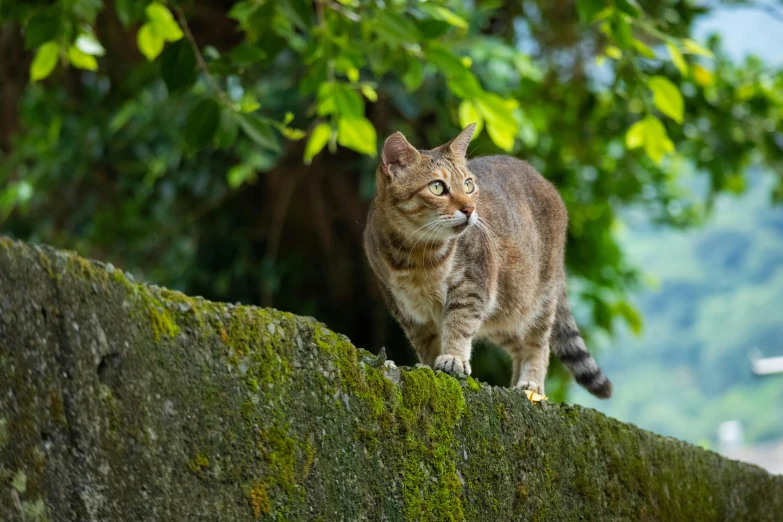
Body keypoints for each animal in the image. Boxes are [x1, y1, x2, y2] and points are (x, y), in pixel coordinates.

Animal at [362, 124, 612, 396]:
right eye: (437, 187)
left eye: (469, 185)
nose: (470, 209)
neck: (417, 255)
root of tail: (545, 180)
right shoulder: (406, 308)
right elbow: (426, 342)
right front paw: (429, 366)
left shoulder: (472, 288)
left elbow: (458, 325)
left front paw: (452, 358)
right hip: (504, 312)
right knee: (518, 346)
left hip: (539, 298)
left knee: (538, 344)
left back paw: (531, 386)